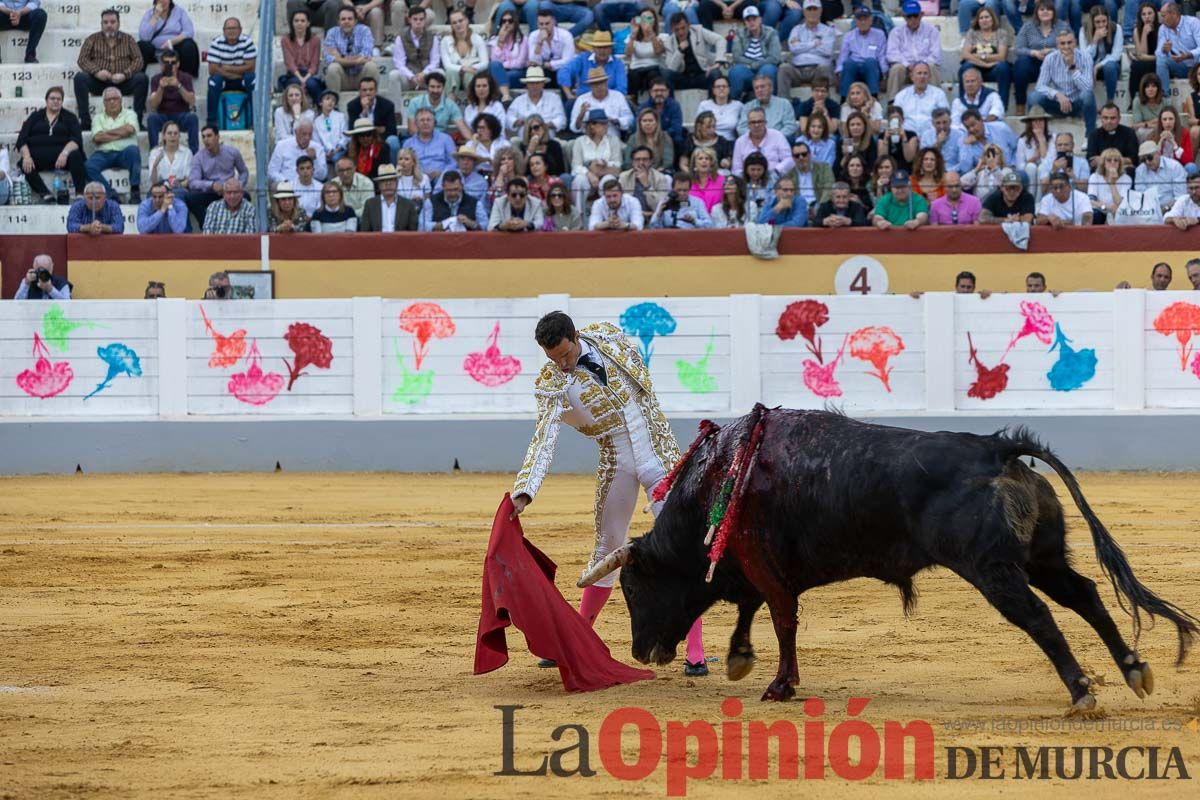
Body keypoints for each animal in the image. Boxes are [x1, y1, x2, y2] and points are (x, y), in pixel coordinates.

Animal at [576, 407, 1195, 705]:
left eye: (633, 587)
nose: (641, 650)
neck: (720, 481)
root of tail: (996, 447)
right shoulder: (757, 568)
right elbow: (755, 610)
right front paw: (740, 659)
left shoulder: (765, 568)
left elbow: (781, 620)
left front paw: (779, 686)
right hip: (1043, 558)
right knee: (1085, 595)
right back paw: (1133, 669)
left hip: (993, 569)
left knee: (1040, 617)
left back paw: (1082, 691)